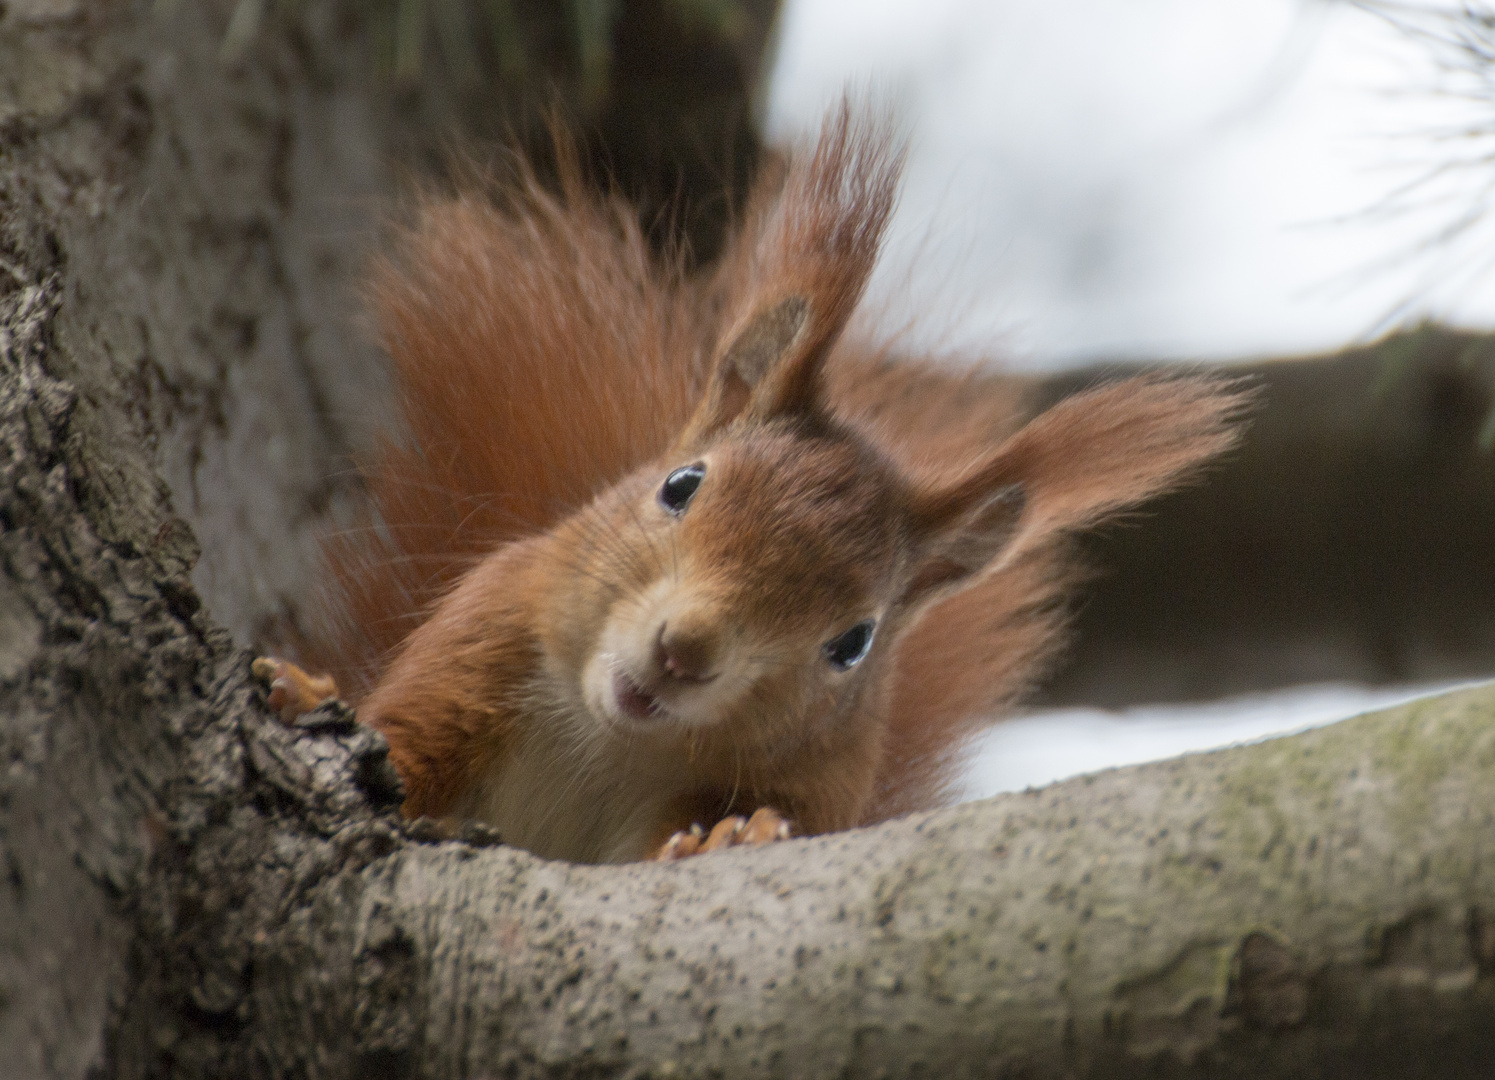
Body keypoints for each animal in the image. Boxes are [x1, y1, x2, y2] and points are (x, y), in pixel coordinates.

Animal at [254, 98, 1249, 855]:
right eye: (680, 485)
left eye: (853, 641)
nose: (685, 651)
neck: (610, 741)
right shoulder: (487, 632)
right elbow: (401, 746)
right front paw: (308, 692)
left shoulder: (815, 784)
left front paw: (730, 839)